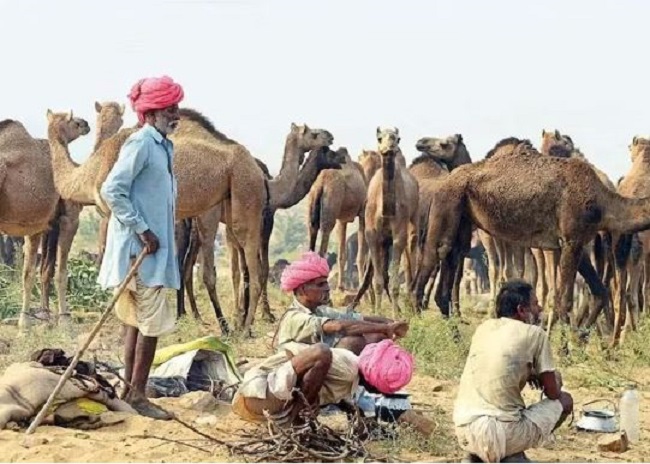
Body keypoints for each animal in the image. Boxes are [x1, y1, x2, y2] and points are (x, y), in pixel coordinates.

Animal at [0, 112, 90, 330]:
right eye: (74, 121)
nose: (86, 124)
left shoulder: (39, 225)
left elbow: (33, 272)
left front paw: (32, 319)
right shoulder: (69, 219)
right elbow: (60, 272)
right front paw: (65, 320)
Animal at [306, 147, 368, 292]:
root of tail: (321, 183)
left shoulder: (342, 219)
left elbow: (342, 255)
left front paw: (340, 287)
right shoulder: (362, 213)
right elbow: (360, 255)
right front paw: (362, 286)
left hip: (313, 204)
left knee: (312, 231)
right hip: (331, 202)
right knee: (323, 241)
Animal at [352, 126, 418, 316]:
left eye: (397, 138)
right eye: (379, 138)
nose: (389, 148)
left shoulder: (398, 236)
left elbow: (395, 283)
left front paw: (395, 316)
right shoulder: (373, 236)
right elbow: (378, 280)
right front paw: (377, 314)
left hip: (413, 220)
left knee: (410, 257)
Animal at [428, 138, 648, 344]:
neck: (604, 205)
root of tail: (446, 181)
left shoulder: (577, 241)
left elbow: (599, 292)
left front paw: (582, 341)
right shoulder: (571, 239)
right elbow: (564, 301)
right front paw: (565, 351)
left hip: (464, 222)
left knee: (447, 275)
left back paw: (458, 342)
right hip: (447, 207)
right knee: (440, 260)